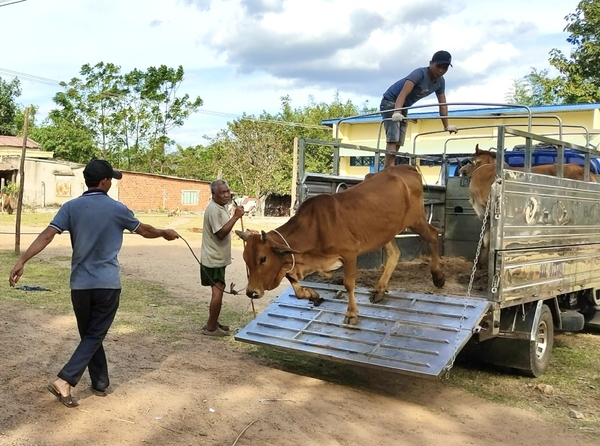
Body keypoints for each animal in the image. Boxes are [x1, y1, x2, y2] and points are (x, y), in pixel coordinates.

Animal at [234, 164, 446, 324]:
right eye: (245, 259)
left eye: (263, 259)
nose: (251, 292)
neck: (315, 227)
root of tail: (405, 167)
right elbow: (295, 285)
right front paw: (313, 295)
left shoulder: (349, 254)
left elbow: (348, 284)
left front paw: (351, 314)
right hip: (386, 232)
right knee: (394, 253)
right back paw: (379, 289)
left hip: (416, 219)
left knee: (433, 235)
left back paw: (438, 276)